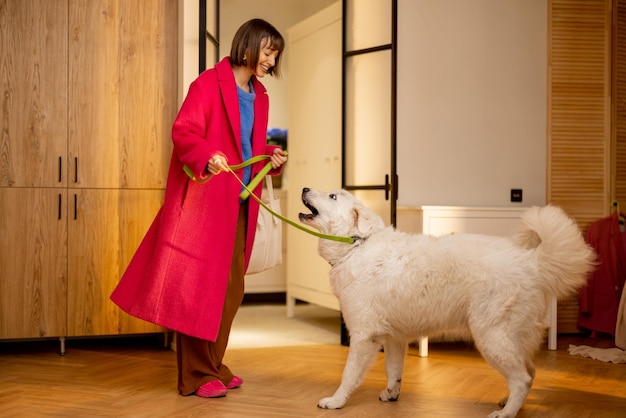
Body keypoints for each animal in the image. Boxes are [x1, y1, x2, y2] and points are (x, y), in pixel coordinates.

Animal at [298, 189, 596, 418]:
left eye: (333, 196)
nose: (304, 188)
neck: (356, 245)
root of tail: (531, 262)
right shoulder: (395, 338)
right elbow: (393, 371)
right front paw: (392, 395)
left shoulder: (363, 337)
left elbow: (349, 375)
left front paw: (335, 401)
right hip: (513, 338)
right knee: (529, 372)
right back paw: (508, 402)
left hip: (491, 336)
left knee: (522, 379)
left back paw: (506, 413)